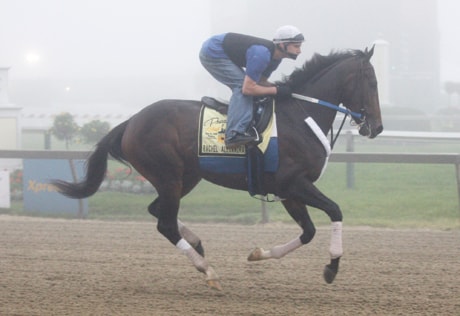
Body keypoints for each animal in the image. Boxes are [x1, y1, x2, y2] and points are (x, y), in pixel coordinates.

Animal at [53, 45, 384, 290]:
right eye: (372, 82)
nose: (377, 127)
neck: (300, 116)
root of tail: (131, 121)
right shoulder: (294, 183)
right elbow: (335, 211)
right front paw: (332, 266)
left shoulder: (288, 191)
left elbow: (309, 232)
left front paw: (258, 254)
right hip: (169, 176)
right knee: (165, 223)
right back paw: (207, 269)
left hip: (185, 177)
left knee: (157, 210)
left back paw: (197, 243)